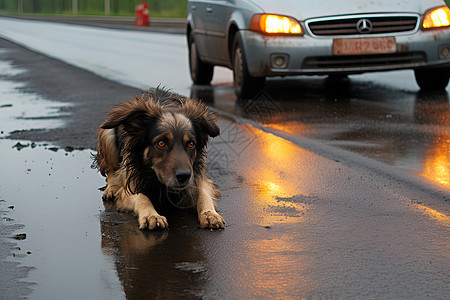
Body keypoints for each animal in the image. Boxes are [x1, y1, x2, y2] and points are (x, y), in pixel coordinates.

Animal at [93, 88, 225, 231]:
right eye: (161, 143)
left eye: (191, 144)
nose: (184, 176)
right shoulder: (129, 184)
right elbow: (142, 197)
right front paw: (152, 215)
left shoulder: (198, 177)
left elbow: (203, 193)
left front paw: (209, 214)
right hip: (107, 134)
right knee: (111, 171)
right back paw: (111, 188)